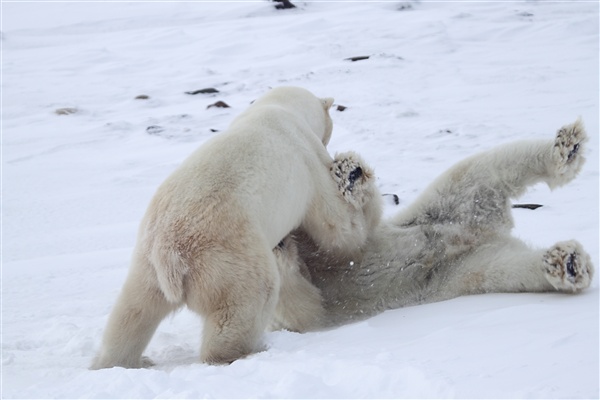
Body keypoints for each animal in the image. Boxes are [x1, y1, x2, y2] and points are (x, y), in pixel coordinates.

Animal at [90, 85, 380, 368]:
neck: (279, 108)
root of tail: (170, 255)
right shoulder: (306, 158)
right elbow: (337, 225)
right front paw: (355, 179)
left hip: (146, 264)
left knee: (132, 313)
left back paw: (123, 361)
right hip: (228, 258)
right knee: (249, 300)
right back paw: (244, 352)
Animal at [274, 117, 592, 330]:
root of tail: (480, 232)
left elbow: (359, 231)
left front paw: (351, 173)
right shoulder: (318, 309)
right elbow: (302, 306)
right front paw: (281, 248)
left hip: (447, 203)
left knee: (488, 165)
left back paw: (566, 148)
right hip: (456, 272)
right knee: (506, 267)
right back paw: (566, 263)